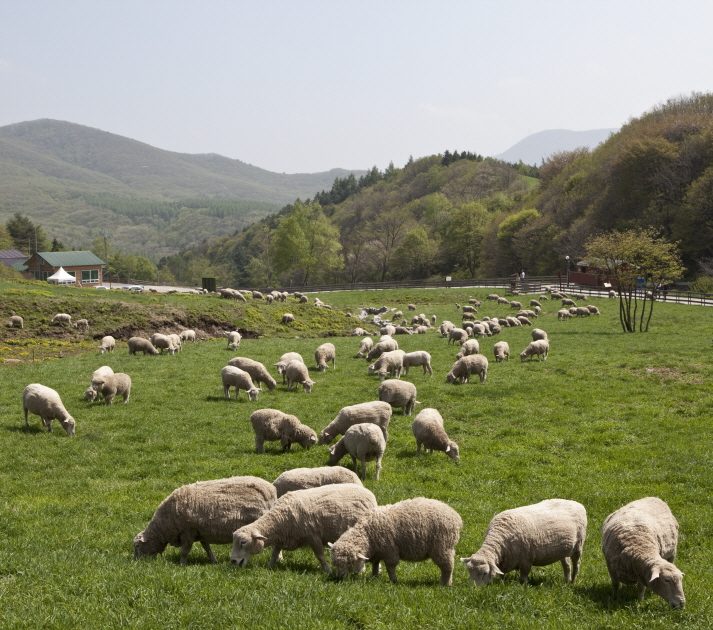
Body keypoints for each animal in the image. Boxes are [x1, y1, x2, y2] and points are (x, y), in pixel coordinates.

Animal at [134, 478, 276, 568]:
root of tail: (271, 489)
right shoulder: (201, 532)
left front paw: (181, 564)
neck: (165, 524)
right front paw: (213, 560)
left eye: (137, 546)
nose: (136, 562)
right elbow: (207, 548)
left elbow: (185, 551)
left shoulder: (188, 532)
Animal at [232, 484, 378, 576]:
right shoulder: (281, 538)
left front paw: (328, 570)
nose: (233, 561)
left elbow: (320, 556)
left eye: (243, 542)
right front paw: (269, 567)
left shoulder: (313, 536)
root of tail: (369, 493)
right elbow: (274, 554)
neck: (279, 518)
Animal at [328, 498, 462, 588]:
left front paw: (393, 581)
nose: (338, 578)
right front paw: (374, 577)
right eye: (335, 563)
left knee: (448, 566)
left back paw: (444, 584)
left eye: (349, 563)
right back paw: (448, 582)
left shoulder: (390, 550)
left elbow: (390, 567)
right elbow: (375, 564)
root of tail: (456, 517)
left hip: (442, 546)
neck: (368, 533)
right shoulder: (377, 551)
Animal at [458, 502, 588, 592]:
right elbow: (501, 574)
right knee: (566, 565)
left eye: (485, 573)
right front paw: (501, 584)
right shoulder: (505, 561)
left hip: (578, 545)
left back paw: (573, 582)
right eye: (469, 571)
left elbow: (523, 578)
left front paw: (523, 588)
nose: (474, 590)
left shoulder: (526, 560)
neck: (499, 537)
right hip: (565, 550)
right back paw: (566, 580)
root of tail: (577, 503)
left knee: (576, 564)